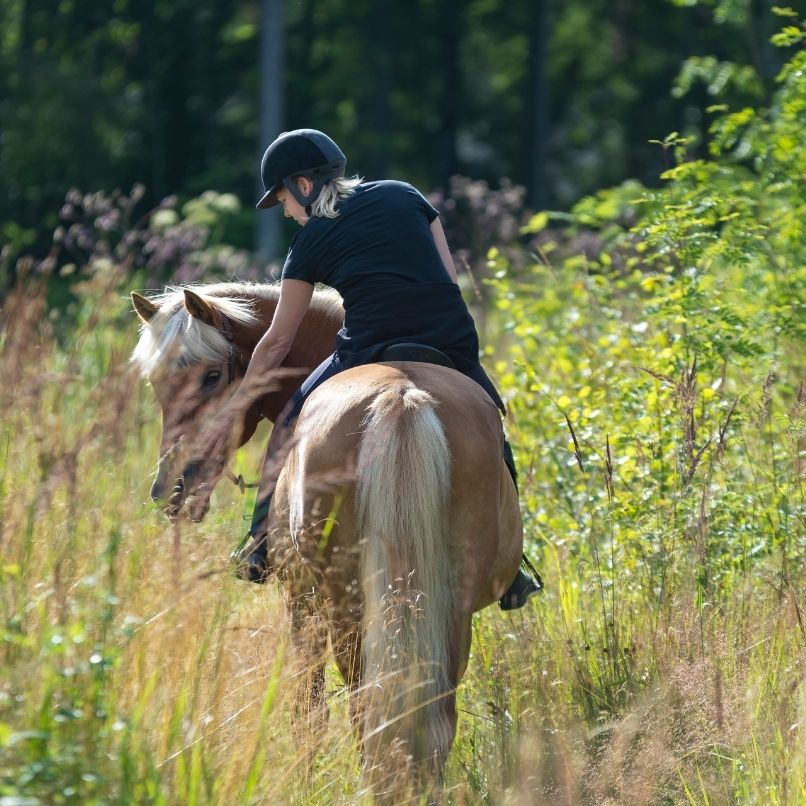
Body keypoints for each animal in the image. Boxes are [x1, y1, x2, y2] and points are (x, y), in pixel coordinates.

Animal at [130, 281, 523, 796]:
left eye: (212, 376)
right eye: (156, 384)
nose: (171, 488)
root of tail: (400, 398)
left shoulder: (299, 601)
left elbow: (308, 710)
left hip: (346, 607)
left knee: (364, 707)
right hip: (446, 606)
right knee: (431, 713)